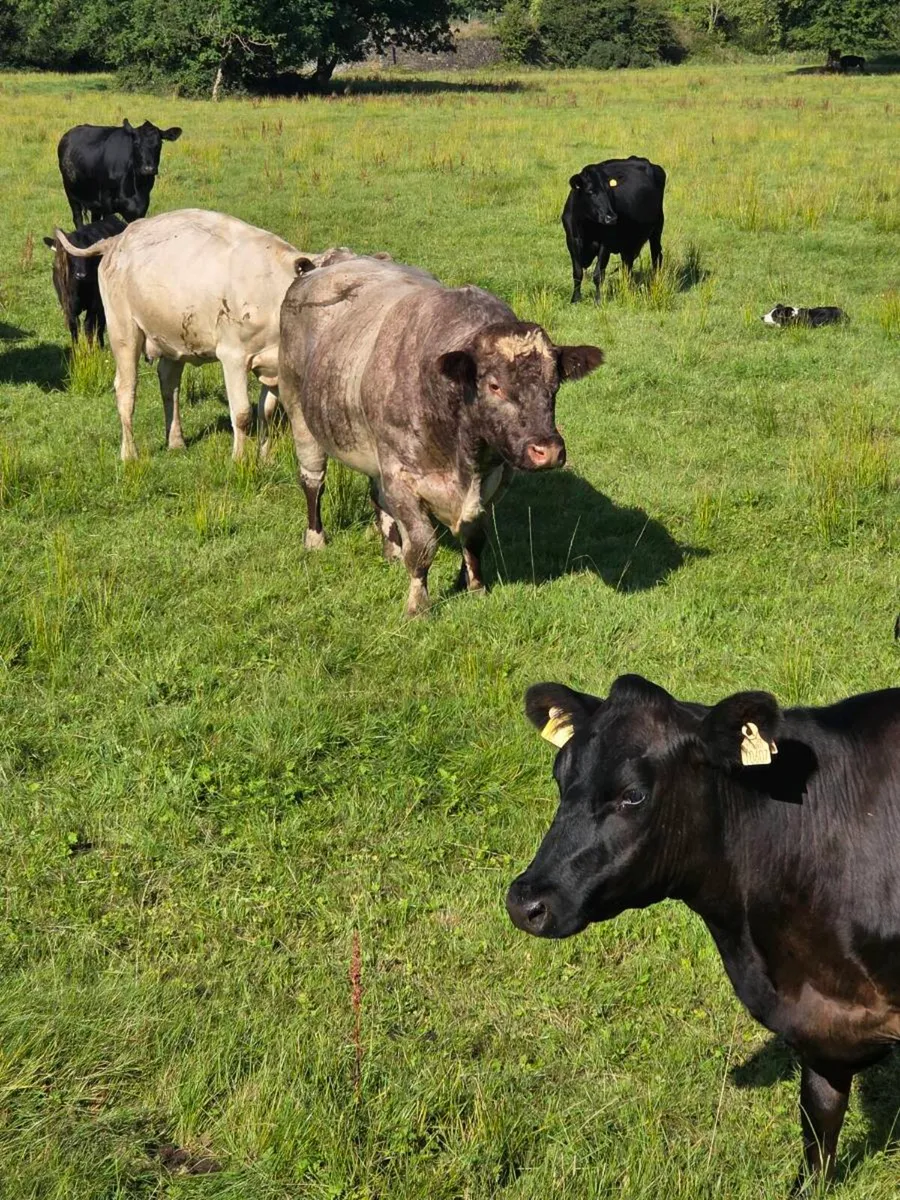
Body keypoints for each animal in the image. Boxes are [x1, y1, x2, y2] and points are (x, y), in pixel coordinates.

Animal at [43, 216, 126, 346]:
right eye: (70, 254)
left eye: (89, 255)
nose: (80, 275)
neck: (78, 289)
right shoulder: (66, 304)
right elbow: (74, 325)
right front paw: (76, 349)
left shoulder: (95, 303)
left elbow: (89, 326)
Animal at [54, 209, 343, 461]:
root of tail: (118, 239)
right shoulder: (232, 356)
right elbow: (242, 414)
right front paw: (241, 460)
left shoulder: (275, 362)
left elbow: (267, 412)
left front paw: (265, 457)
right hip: (123, 331)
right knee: (126, 390)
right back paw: (129, 454)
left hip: (171, 334)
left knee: (169, 383)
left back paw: (175, 441)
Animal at [278, 256, 604, 616]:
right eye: (494, 385)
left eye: (554, 384)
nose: (547, 450)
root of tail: (323, 263)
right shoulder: (402, 478)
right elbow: (422, 546)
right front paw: (418, 605)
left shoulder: (496, 481)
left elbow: (475, 536)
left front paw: (474, 585)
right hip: (298, 409)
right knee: (313, 480)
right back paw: (315, 538)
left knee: (377, 495)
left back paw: (391, 549)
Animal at [563, 156, 666, 303]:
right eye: (590, 191)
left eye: (609, 191)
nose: (611, 218)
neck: (587, 227)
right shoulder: (571, 240)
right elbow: (577, 272)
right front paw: (575, 299)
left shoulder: (606, 244)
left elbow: (598, 274)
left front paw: (598, 300)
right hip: (630, 241)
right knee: (627, 265)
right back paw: (627, 290)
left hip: (657, 229)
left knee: (656, 257)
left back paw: (655, 283)